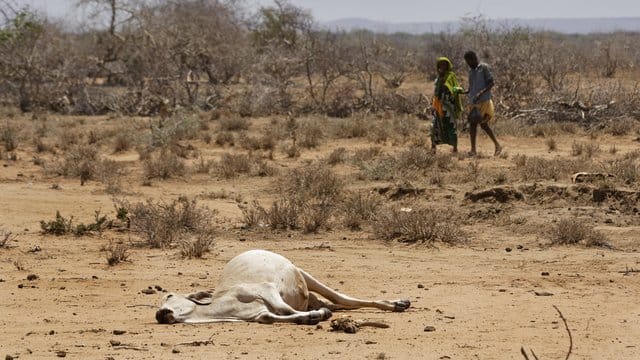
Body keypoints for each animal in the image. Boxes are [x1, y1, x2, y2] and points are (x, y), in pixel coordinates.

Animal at [158, 250, 412, 324]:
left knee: (343, 299)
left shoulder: (267, 290)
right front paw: (314, 316)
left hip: (303, 274)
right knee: (338, 304)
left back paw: (399, 303)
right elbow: (275, 317)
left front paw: (319, 315)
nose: (160, 314)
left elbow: (285, 309)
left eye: (169, 296)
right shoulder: (261, 316)